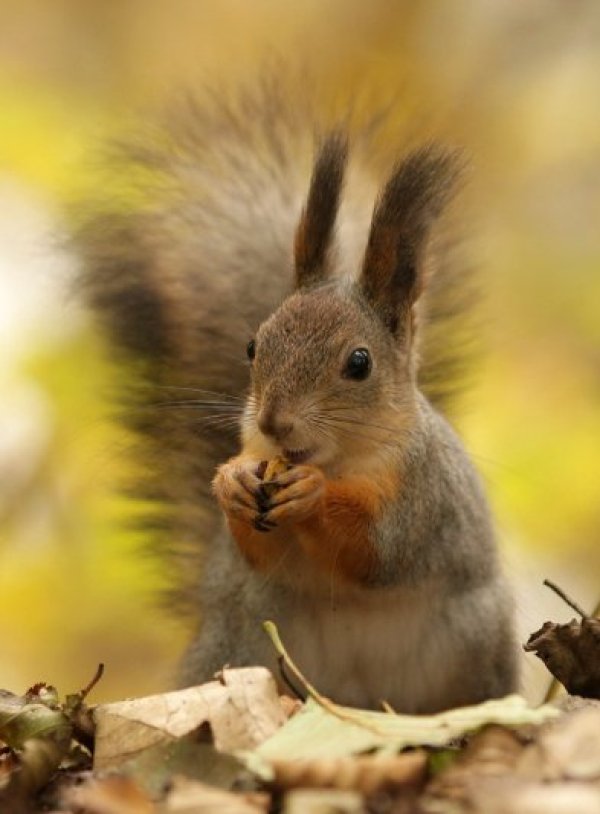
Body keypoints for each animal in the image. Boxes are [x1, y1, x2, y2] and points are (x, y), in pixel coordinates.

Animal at [74, 78, 516, 712]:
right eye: (253, 344)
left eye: (359, 363)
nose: (274, 422)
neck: (337, 459)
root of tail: (356, 703)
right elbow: (261, 552)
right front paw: (232, 482)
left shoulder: (422, 497)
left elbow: (379, 553)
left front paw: (313, 495)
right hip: (238, 642)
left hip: (475, 639)